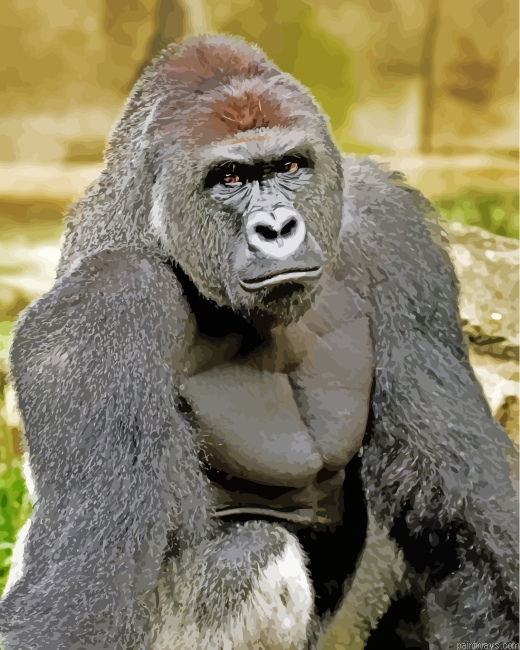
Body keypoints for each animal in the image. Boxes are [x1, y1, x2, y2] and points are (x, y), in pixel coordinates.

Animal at [0, 34, 517, 650]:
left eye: (289, 165)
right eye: (230, 179)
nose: (276, 228)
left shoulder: (391, 230)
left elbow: (462, 502)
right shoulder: (103, 308)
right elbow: (87, 585)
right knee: (250, 551)